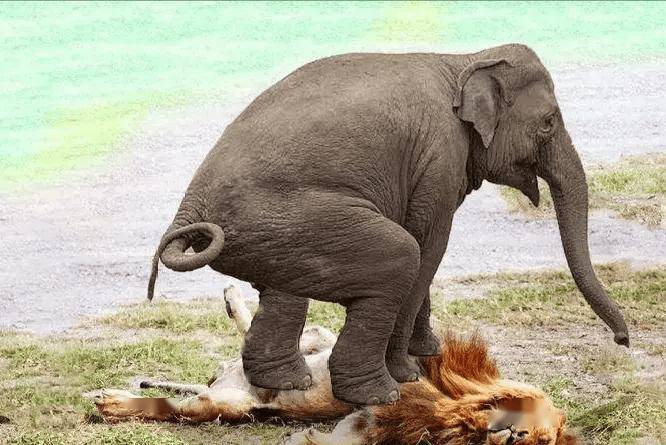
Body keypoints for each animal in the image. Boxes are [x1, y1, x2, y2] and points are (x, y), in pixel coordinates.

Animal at [147, 44, 629, 406]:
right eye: (548, 123)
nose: (624, 341)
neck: (464, 58)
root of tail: (191, 206)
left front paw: (429, 353)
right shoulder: (440, 156)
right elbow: (428, 243)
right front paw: (410, 372)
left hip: (275, 234)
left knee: (285, 291)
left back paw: (288, 383)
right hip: (293, 218)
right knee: (399, 255)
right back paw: (378, 396)